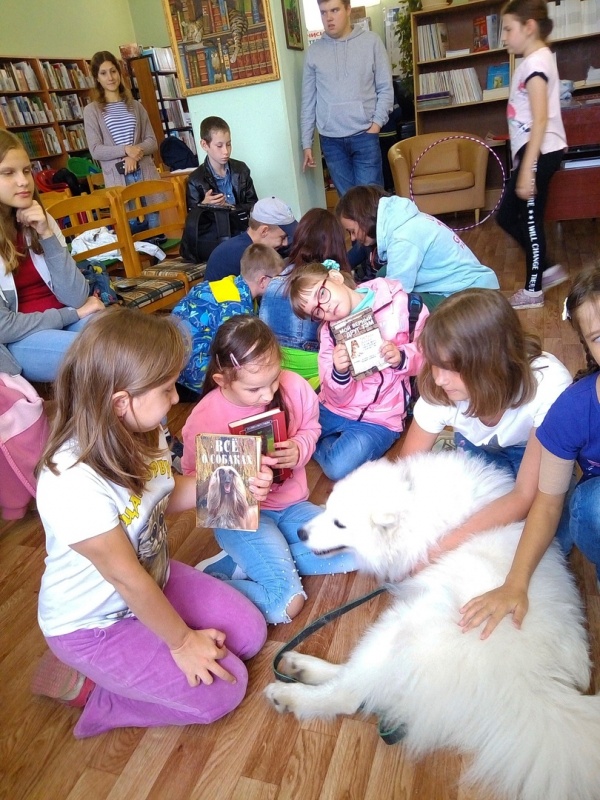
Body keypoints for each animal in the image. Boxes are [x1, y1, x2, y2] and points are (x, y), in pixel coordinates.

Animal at [268, 450, 600, 800]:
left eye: (340, 523)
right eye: (329, 508)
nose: (301, 534)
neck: (415, 505)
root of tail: (528, 682)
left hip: (403, 623)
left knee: (352, 692)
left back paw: (290, 694)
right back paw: (299, 666)